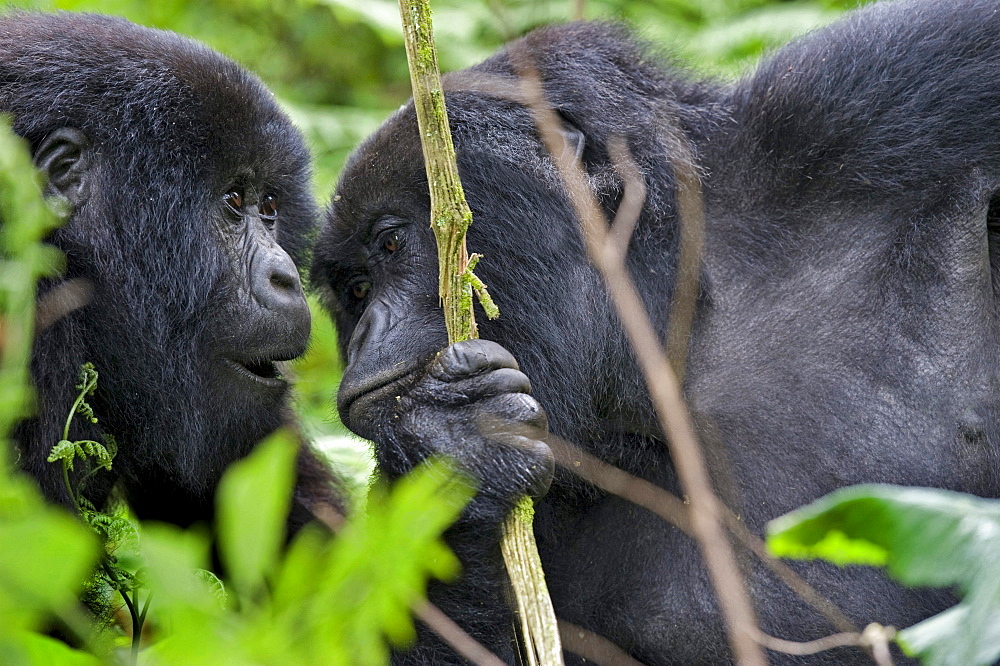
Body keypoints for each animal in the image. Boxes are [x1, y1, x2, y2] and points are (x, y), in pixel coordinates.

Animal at [312, 0, 1000, 660]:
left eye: (392, 242)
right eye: (355, 291)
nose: (365, 333)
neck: (675, 328)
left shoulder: (876, 88)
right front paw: (448, 448)